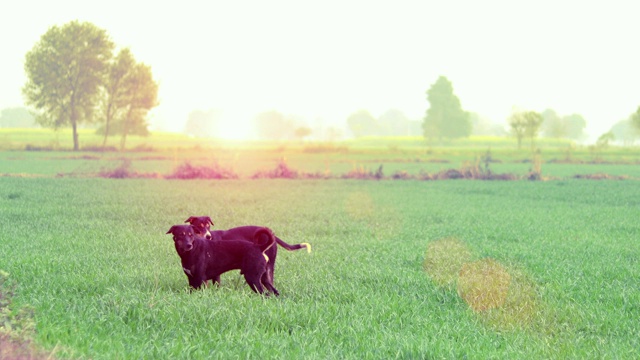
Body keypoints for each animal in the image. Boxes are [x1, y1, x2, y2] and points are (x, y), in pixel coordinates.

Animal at [184, 217, 312, 286]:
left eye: (208, 226)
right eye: (199, 226)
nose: (208, 236)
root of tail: (273, 236)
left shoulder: (215, 272)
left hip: (269, 265)